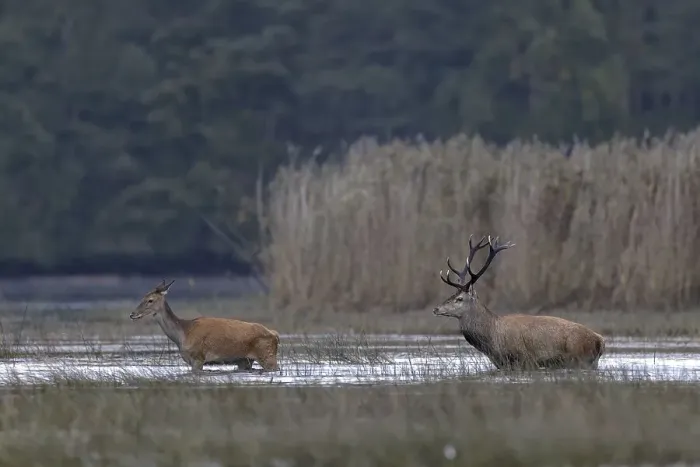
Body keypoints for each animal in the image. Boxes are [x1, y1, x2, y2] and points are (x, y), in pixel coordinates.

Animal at [130, 280, 280, 373]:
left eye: (150, 300)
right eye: (142, 297)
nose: (132, 314)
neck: (183, 334)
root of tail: (275, 335)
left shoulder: (198, 357)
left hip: (267, 355)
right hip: (245, 360)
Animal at [433, 235, 605, 371]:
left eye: (459, 299)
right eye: (451, 295)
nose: (436, 309)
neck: (493, 340)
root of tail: (599, 341)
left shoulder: (524, 359)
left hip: (580, 357)